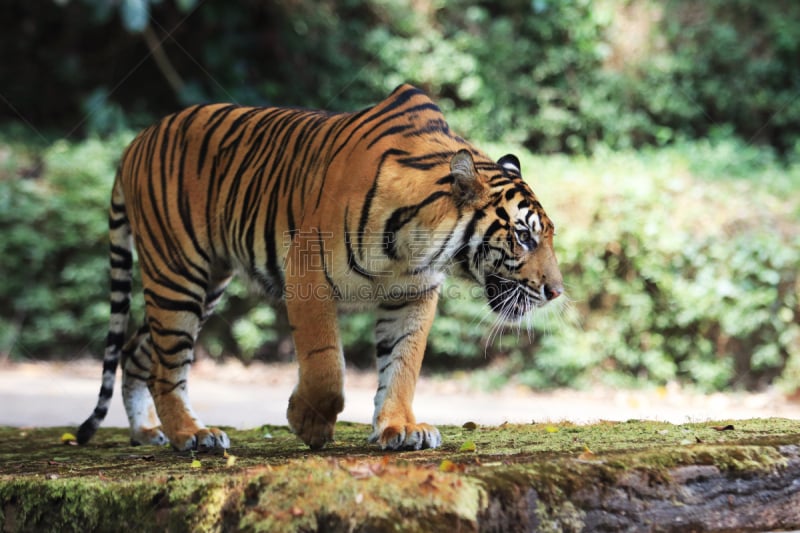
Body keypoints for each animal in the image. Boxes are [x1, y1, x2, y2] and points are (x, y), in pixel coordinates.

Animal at [75, 83, 564, 448]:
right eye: (524, 236)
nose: (556, 292)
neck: (418, 242)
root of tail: (136, 141)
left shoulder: (413, 292)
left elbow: (403, 362)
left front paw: (401, 427)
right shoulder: (307, 270)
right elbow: (326, 364)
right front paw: (308, 424)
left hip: (203, 283)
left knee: (138, 351)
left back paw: (147, 431)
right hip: (179, 274)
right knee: (165, 364)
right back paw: (191, 435)